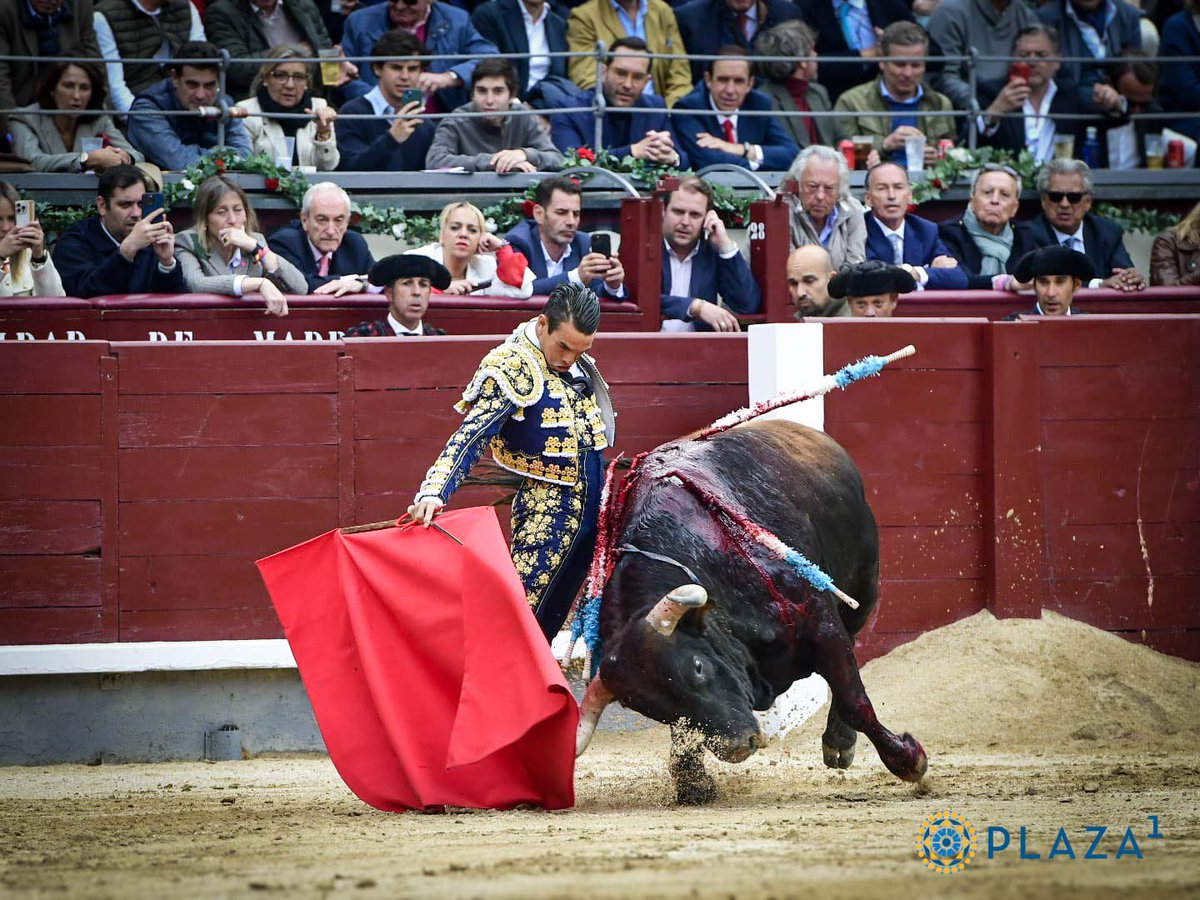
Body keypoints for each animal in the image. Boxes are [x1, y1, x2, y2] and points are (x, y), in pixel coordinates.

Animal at [571, 420, 926, 806]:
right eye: (649, 708)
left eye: (698, 667)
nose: (737, 746)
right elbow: (684, 733)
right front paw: (693, 782)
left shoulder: (821, 624)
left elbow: (854, 700)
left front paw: (909, 760)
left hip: (863, 587)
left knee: (855, 646)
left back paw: (839, 742)